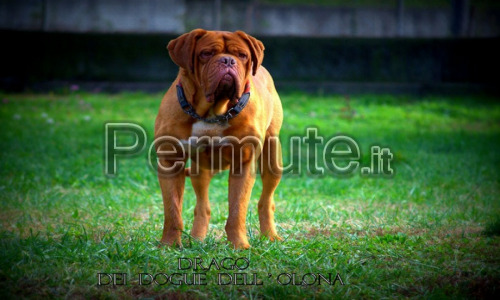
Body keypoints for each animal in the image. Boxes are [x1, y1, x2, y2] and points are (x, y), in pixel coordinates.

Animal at [154, 29, 284, 250]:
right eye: (206, 53)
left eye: (242, 55)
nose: (228, 60)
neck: (212, 112)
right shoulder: (169, 161)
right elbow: (172, 210)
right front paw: (169, 244)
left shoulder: (243, 163)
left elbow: (237, 210)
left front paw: (239, 245)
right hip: (201, 170)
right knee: (202, 206)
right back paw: (197, 238)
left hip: (272, 158)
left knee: (266, 201)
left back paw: (270, 236)